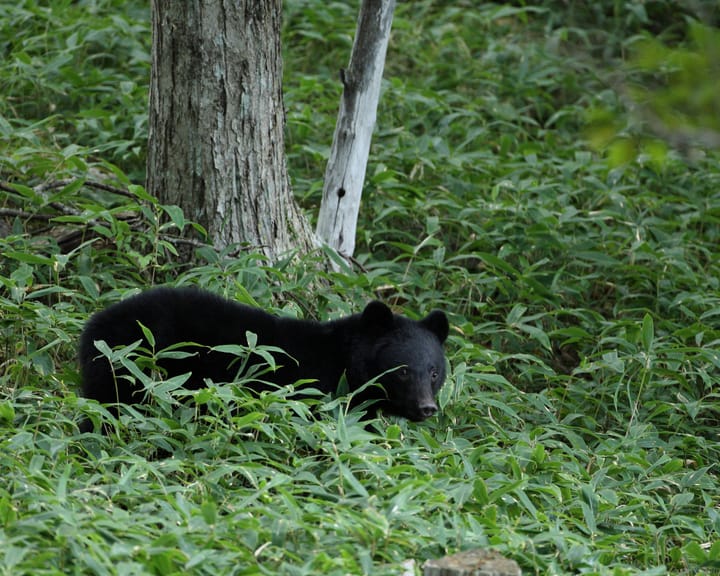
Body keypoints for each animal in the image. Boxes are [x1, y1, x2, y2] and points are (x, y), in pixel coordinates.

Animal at [78, 287, 449, 429]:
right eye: (402, 371)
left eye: (434, 372)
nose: (427, 408)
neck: (344, 362)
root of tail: (95, 324)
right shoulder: (317, 391)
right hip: (129, 364)